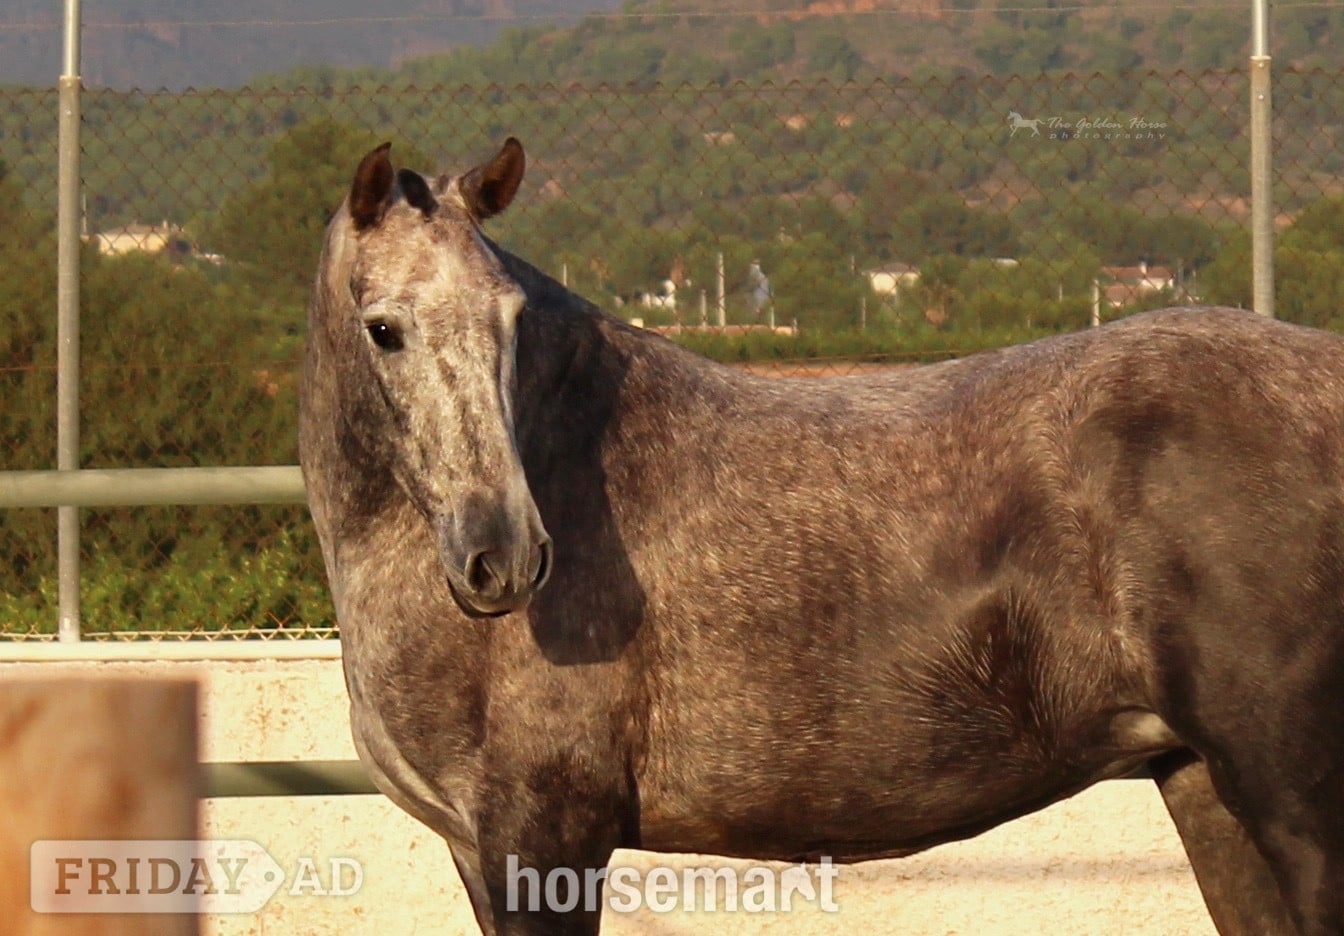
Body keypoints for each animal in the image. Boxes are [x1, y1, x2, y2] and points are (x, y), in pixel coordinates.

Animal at [299, 138, 1344, 936]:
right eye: (384, 328)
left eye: (510, 318)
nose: (504, 556)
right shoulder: (480, 849)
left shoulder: (546, 838)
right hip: (1205, 789)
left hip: (1293, 807)